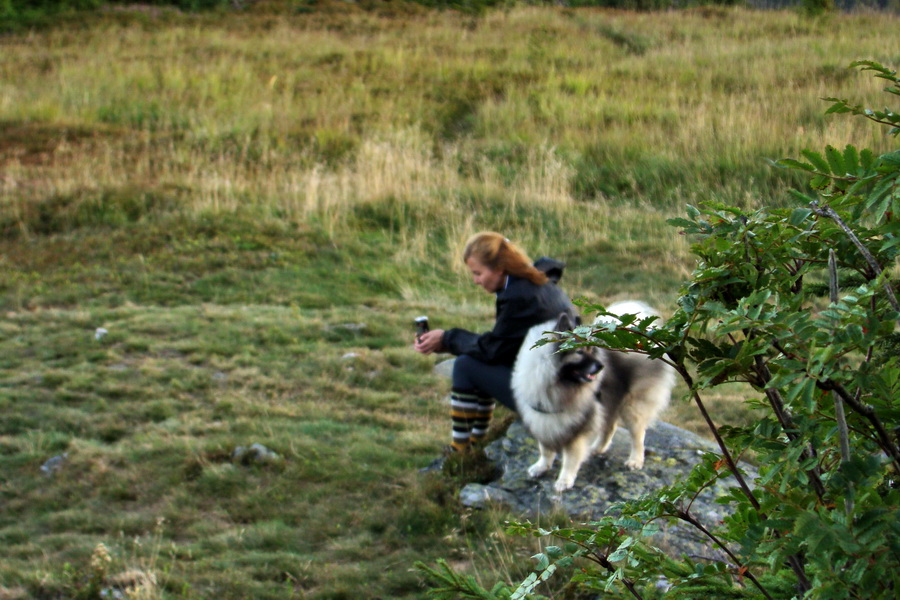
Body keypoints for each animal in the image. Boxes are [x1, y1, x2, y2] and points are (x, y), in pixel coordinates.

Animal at [512, 300, 676, 492]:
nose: (601, 366)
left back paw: (635, 460)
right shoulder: (543, 422)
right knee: (610, 427)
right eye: (579, 352)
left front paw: (564, 480)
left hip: (631, 408)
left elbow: (570, 459)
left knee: (638, 435)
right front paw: (541, 467)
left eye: (591, 350)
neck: (556, 385)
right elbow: (545, 450)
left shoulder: (579, 428)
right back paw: (598, 448)